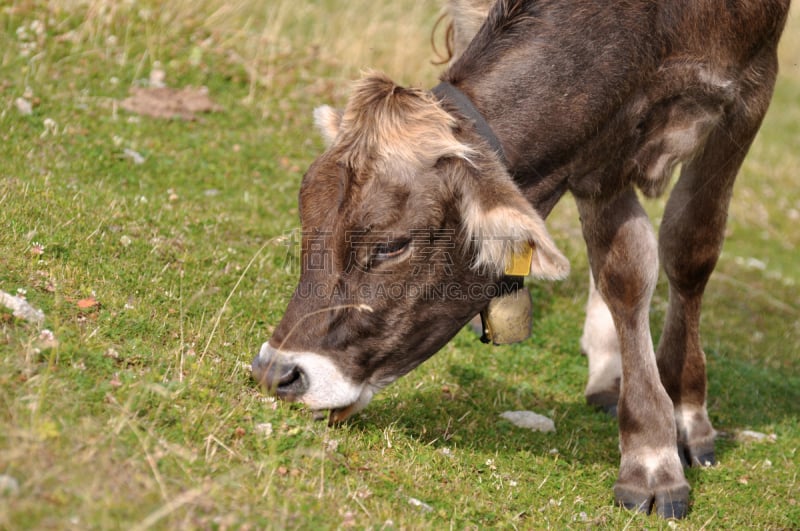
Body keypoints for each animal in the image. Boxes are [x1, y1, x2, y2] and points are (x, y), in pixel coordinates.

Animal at [253, 0, 792, 516]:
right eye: (307, 223)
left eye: (391, 245)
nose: (276, 373)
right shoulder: (597, 148)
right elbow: (624, 272)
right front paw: (650, 453)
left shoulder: (749, 93)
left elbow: (688, 247)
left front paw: (682, 416)